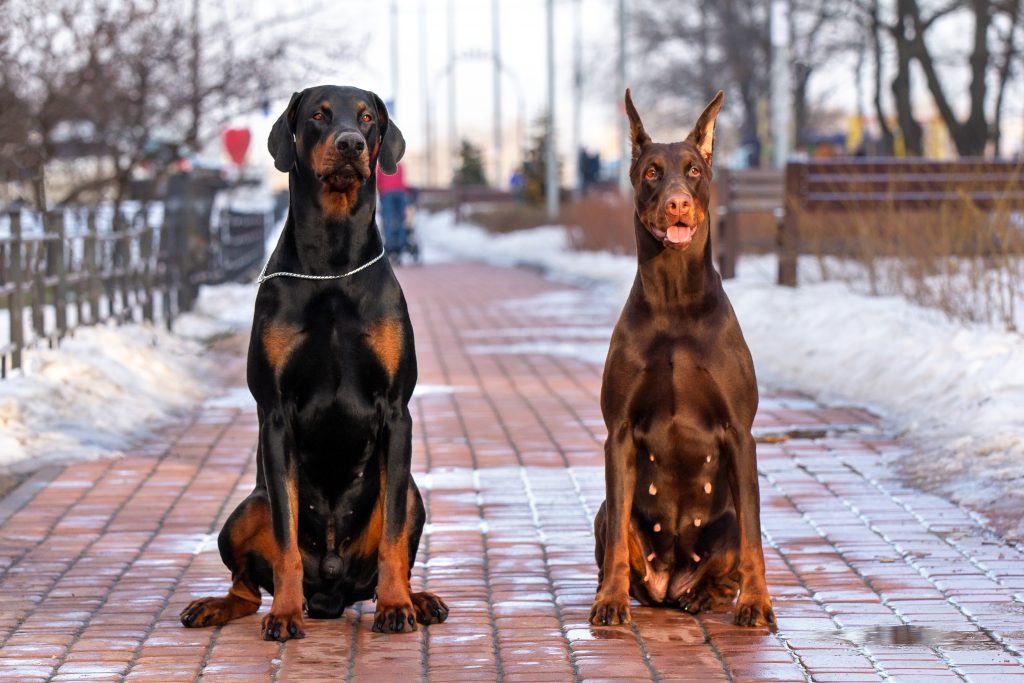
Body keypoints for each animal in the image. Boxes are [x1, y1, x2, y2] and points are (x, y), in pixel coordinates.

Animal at [179, 85, 448, 643]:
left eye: (367, 118)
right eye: (319, 115)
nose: (350, 144)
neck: (332, 265)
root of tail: (332, 595)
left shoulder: (397, 411)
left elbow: (393, 536)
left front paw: (396, 606)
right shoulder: (276, 413)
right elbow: (285, 541)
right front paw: (284, 613)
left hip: (413, 491)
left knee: (397, 538)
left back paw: (416, 598)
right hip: (244, 511)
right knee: (245, 584)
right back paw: (220, 605)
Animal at [593, 89, 774, 630]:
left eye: (693, 169)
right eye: (652, 171)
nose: (678, 202)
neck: (674, 301)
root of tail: (669, 585)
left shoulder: (740, 432)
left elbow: (755, 539)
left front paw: (758, 603)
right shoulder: (618, 432)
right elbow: (617, 541)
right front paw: (609, 601)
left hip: (727, 520)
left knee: (729, 558)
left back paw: (708, 596)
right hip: (605, 509)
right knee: (618, 542)